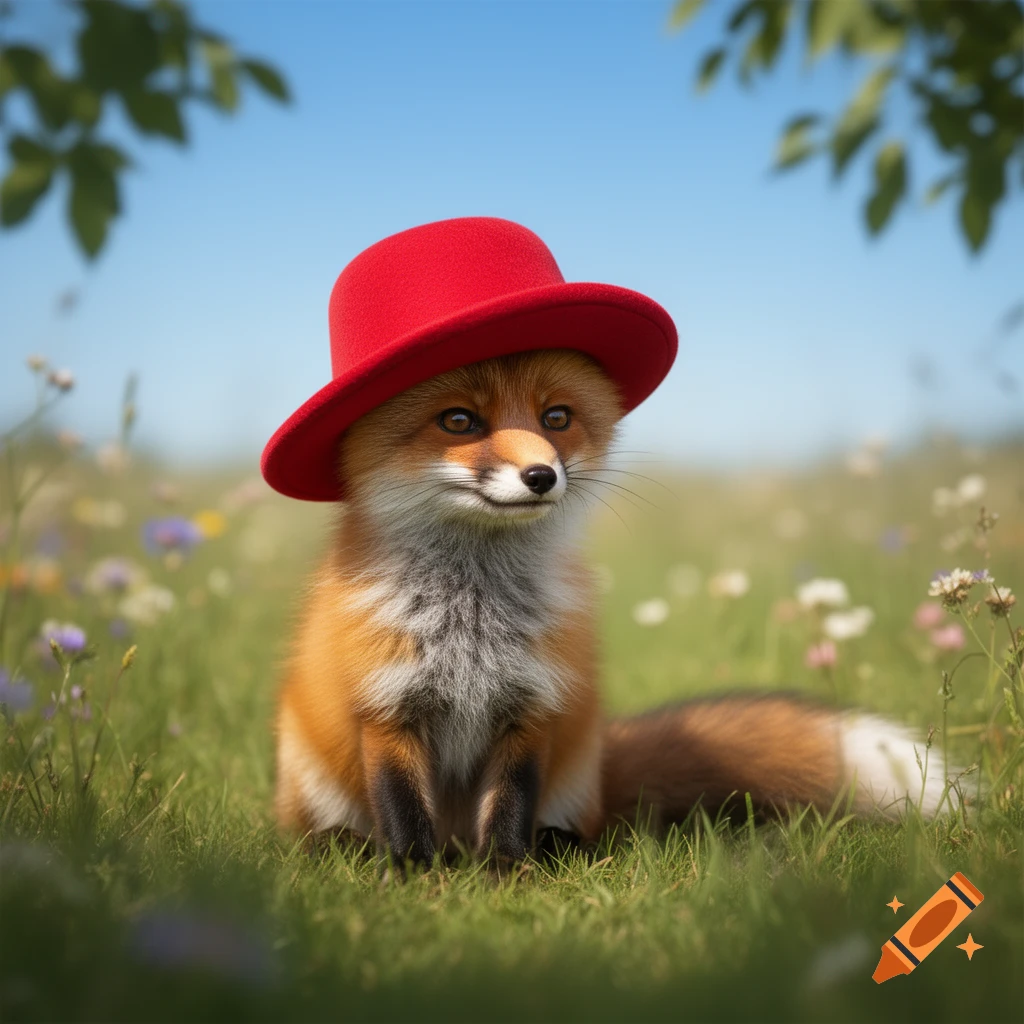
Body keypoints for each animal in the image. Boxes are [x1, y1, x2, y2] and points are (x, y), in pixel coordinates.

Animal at [274, 348, 948, 865]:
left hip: (572, 781)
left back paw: (552, 848)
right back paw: (349, 848)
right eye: (459, 420)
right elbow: (405, 813)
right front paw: (416, 877)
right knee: (328, 833)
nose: (541, 475)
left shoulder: (533, 707)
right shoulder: (386, 707)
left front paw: (505, 875)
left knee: (581, 832)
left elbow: (511, 809)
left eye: (557, 417)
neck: (472, 621)